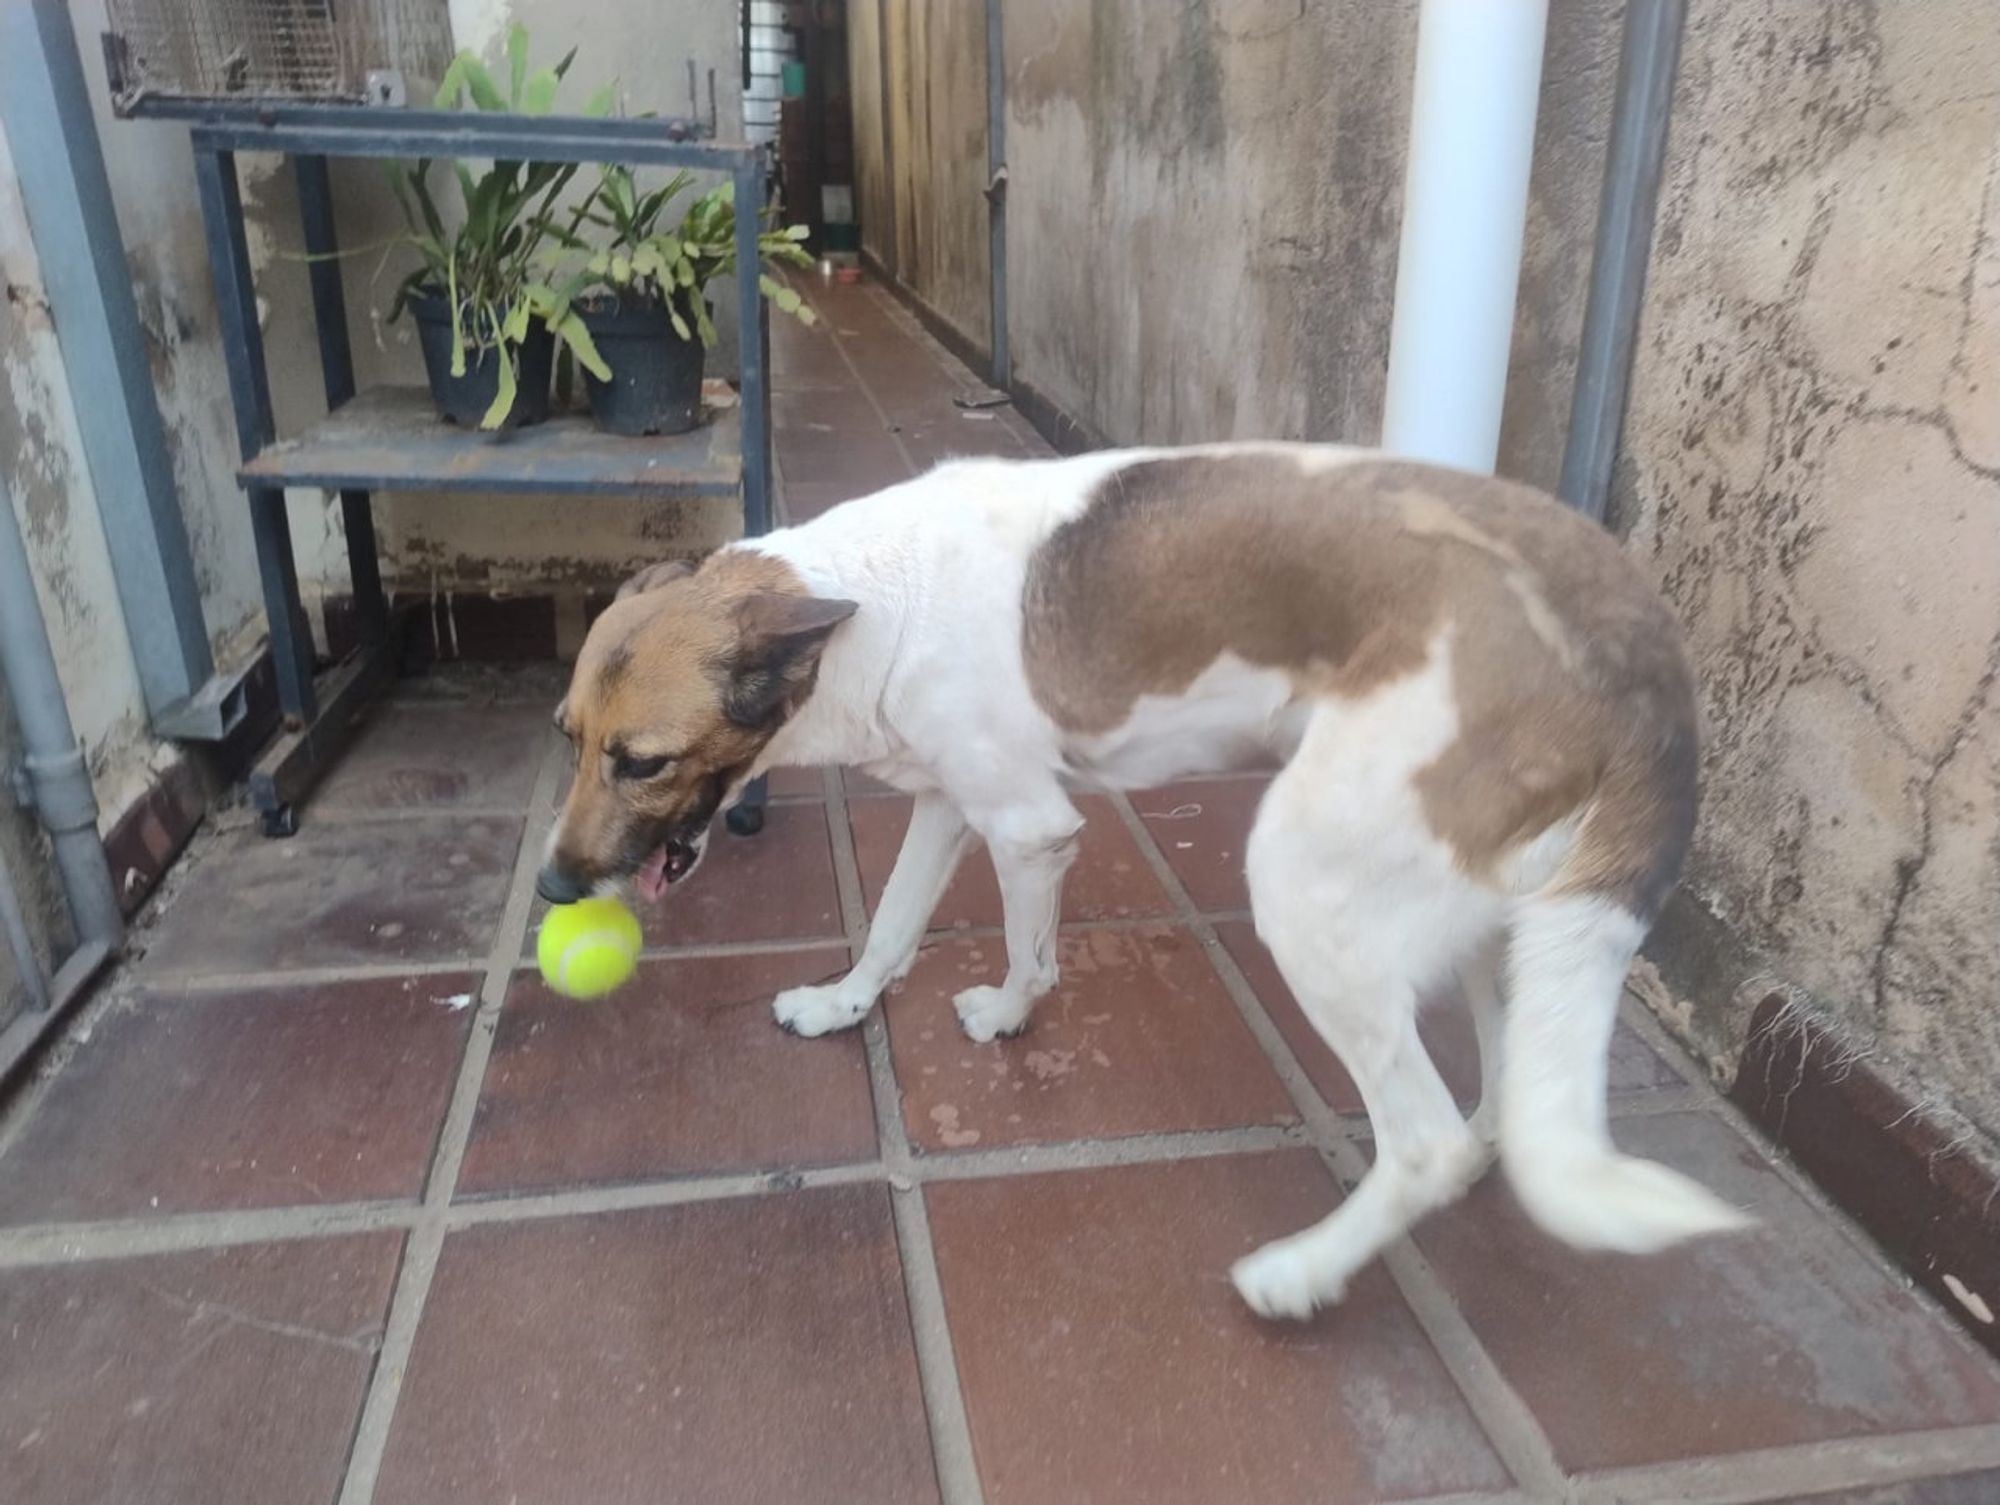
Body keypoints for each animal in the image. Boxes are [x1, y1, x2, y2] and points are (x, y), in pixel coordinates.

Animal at [536, 446, 1752, 1312]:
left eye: (641, 762)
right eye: (567, 736)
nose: (552, 890)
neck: (875, 603)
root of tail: (1634, 629)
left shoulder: (1029, 830)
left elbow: (1027, 954)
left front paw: (1008, 1017)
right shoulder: (949, 803)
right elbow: (886, 928)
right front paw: (840, 1006)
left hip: (1303, 886)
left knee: (1426, 1141)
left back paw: (1300, 1273)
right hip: (1500, 918)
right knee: (1498, 1103)